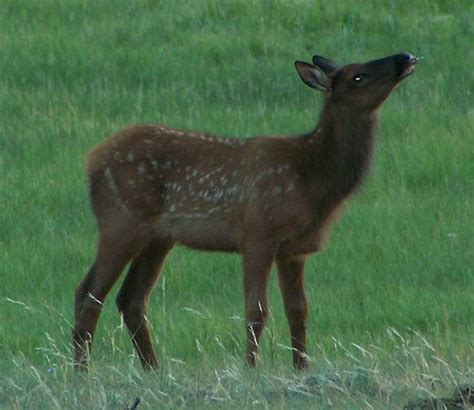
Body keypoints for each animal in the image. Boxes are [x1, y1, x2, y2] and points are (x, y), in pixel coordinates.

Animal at [72, 50, 416, 368]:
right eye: (358, 76)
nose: (405, 56)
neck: (312, 180)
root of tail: (91, 159)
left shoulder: (294, 249)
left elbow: (298, 310)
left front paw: (301, 369)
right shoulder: (259, 231)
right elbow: (256, 309)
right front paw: (250, 367)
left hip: (159, 238)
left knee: (131, 298)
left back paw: (152, 370)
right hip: (121, 220)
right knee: (89, 292)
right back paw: (81, 372)